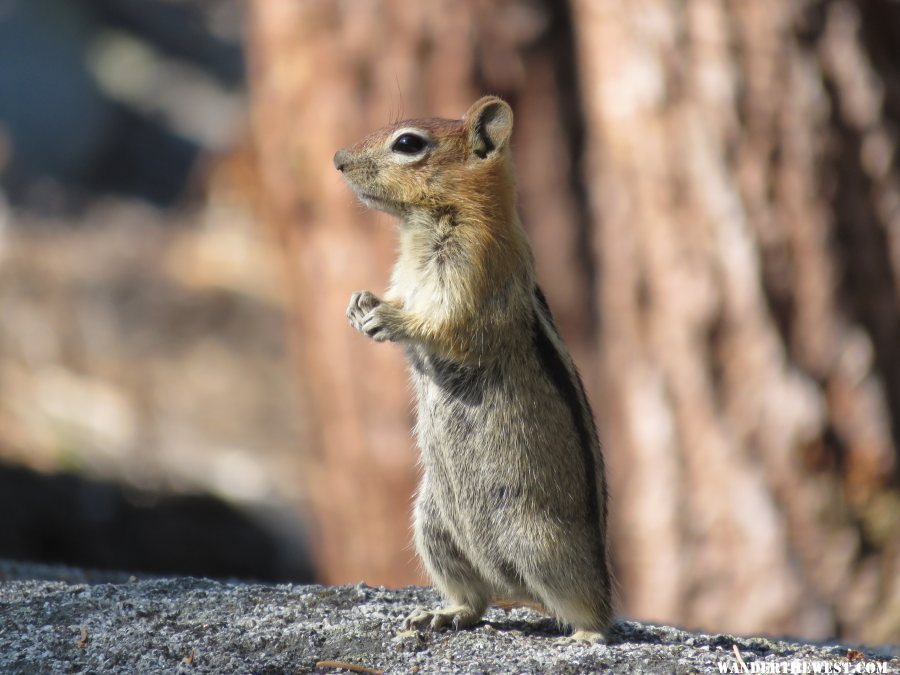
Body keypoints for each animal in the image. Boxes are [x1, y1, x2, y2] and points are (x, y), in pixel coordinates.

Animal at [336, 96, 612, 644]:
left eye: (408, 143)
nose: (337, 159)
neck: (424, 227)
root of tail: (518, 590)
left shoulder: (474, 275)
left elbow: (447, 328)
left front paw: (389, 318)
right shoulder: (406, 278)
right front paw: (360, 304)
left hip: (542, 542)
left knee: (594, 606)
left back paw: (589, 634)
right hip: (432, 524)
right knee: (476, 600)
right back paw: (444, 613)